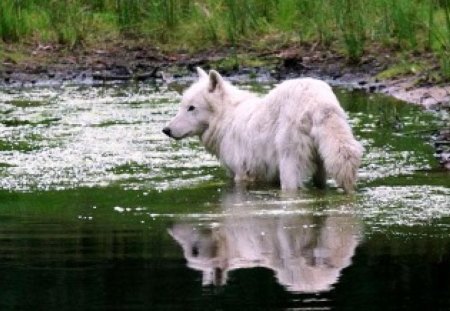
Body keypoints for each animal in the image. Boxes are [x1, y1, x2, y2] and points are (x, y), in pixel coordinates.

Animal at [163, 69, 364, 193]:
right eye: (182, 106)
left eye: (191, 108)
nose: (166, 130)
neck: (226, 117)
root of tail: (318, 101)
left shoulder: (241, 176)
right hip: (322, 167)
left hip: (289, 168)